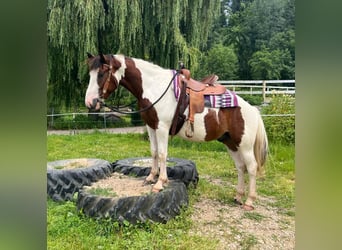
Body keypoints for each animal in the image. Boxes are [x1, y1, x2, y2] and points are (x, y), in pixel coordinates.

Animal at [85, 53, 268, 211]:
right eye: (90, 73)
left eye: (101, 73)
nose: (90, 102)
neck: (154, 88)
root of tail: (252, 109)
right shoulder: (151, 127)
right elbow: (153, 152)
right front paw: (150, 177)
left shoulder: (162, 128)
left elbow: (162, 154)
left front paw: (160, 183)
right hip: (230, 143)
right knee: (240, 167)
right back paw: (238, 196)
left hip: (244, 145)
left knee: (251, 167)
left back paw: (249, 201)